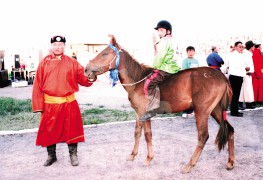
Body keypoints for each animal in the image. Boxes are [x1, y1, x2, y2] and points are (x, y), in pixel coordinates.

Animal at [85, 34, 236, 173]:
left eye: (104, 53)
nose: (86, 69)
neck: (138, 82)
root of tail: (222, 77)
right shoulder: (138, 113)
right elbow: (137, 133)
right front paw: (133, 155)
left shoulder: (144, 113)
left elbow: (147, 135)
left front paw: (148, 158)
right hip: (216, 110)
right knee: (229, 130)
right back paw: (230, 162)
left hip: (202, 111)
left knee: (203, 136)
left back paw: (190, 165)